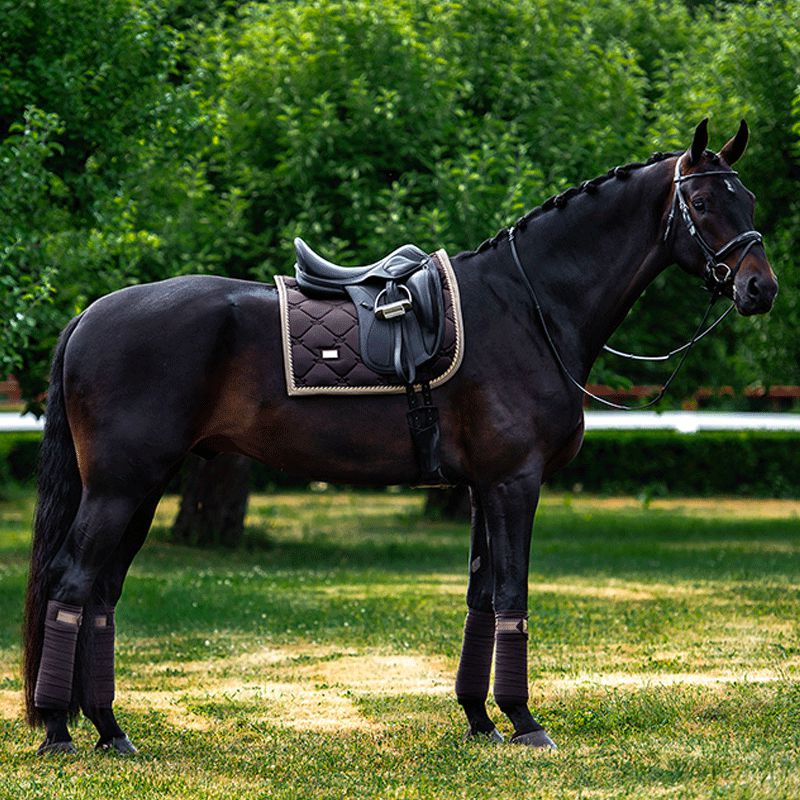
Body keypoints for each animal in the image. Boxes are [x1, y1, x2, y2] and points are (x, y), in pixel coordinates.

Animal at [23, 122, 776, 752]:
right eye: (702, 202)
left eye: (748, 198)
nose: (760, 288)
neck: (527, 307)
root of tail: (89, 314)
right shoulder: (514, 483)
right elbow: (512, 594)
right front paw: (523, 720)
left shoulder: (481, 488)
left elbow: (481, 598)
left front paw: (479, 720)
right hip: (121, 488)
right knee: (71, 584)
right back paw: (59, 729)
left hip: (141, 490)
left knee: (100, 595)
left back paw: (108, 729)